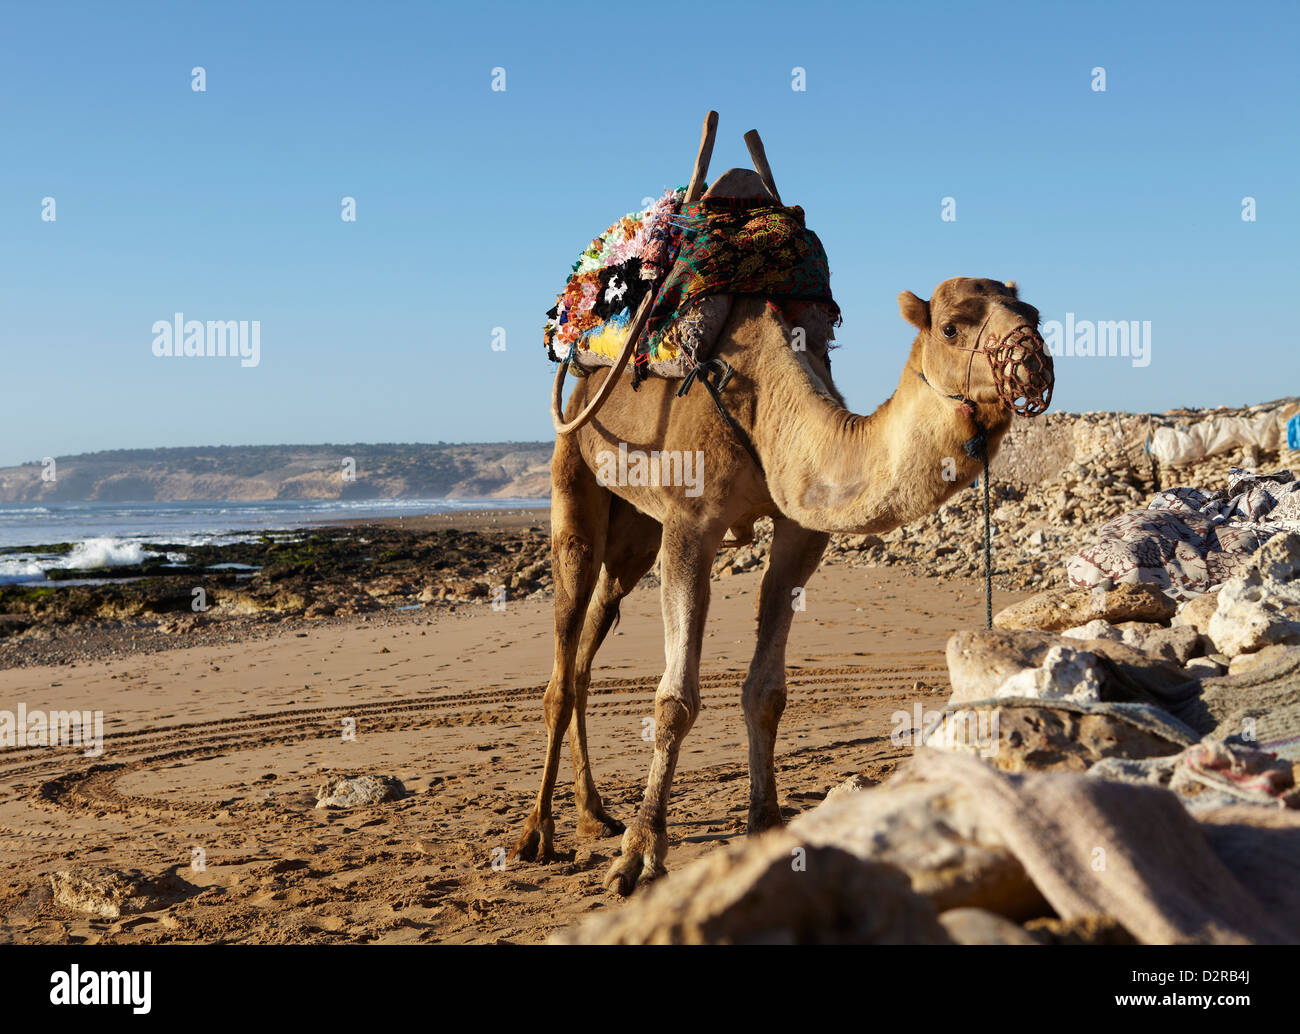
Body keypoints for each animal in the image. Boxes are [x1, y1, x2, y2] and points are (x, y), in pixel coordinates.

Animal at [512, 269, 1050, 900]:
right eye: (952, 327)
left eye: (1033, 314)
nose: (1033, 358)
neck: (768, 407)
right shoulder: (690, 521)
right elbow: (675, 701)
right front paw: (640, 856)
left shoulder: (801, 531)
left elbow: (766, 692)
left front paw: (766, 826)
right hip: (574, 468)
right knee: (564, 647)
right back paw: (537, 833)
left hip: (635, 532)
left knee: (592, 634)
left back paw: (593, 813)